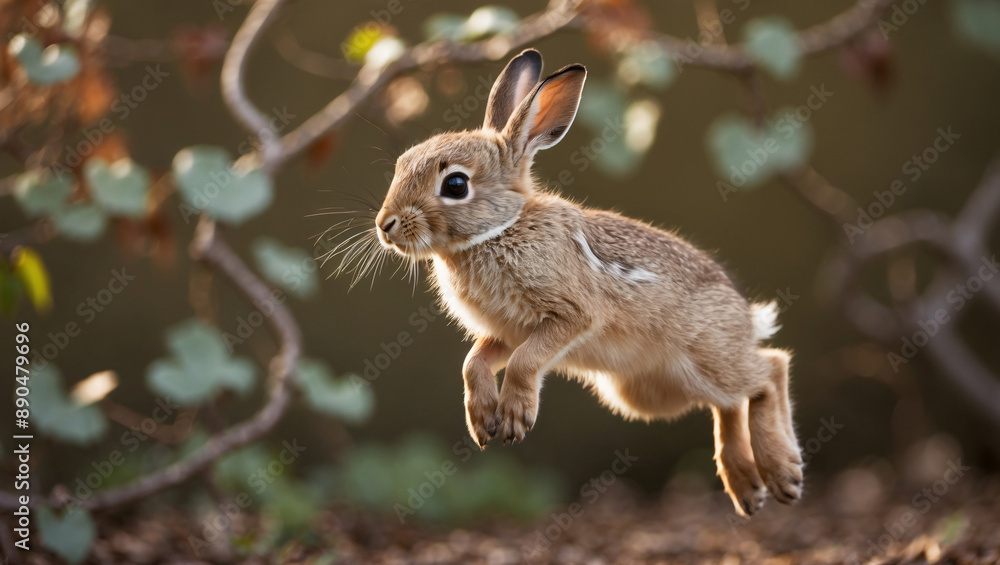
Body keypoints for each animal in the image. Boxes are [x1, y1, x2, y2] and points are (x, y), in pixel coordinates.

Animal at [371, 48, 803, 516]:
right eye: (401, 164)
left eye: (455, 184)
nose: (385, 225)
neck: (499, 230)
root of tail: (745, 317)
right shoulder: (505, 332)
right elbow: (473, 363)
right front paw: (483, 420)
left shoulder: (569, 316)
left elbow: (525, 362)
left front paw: (515, 417)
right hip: (650, 395)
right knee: (728, 404)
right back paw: (747, 485)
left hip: (707, 356)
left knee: (769, 370)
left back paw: (783, 473)